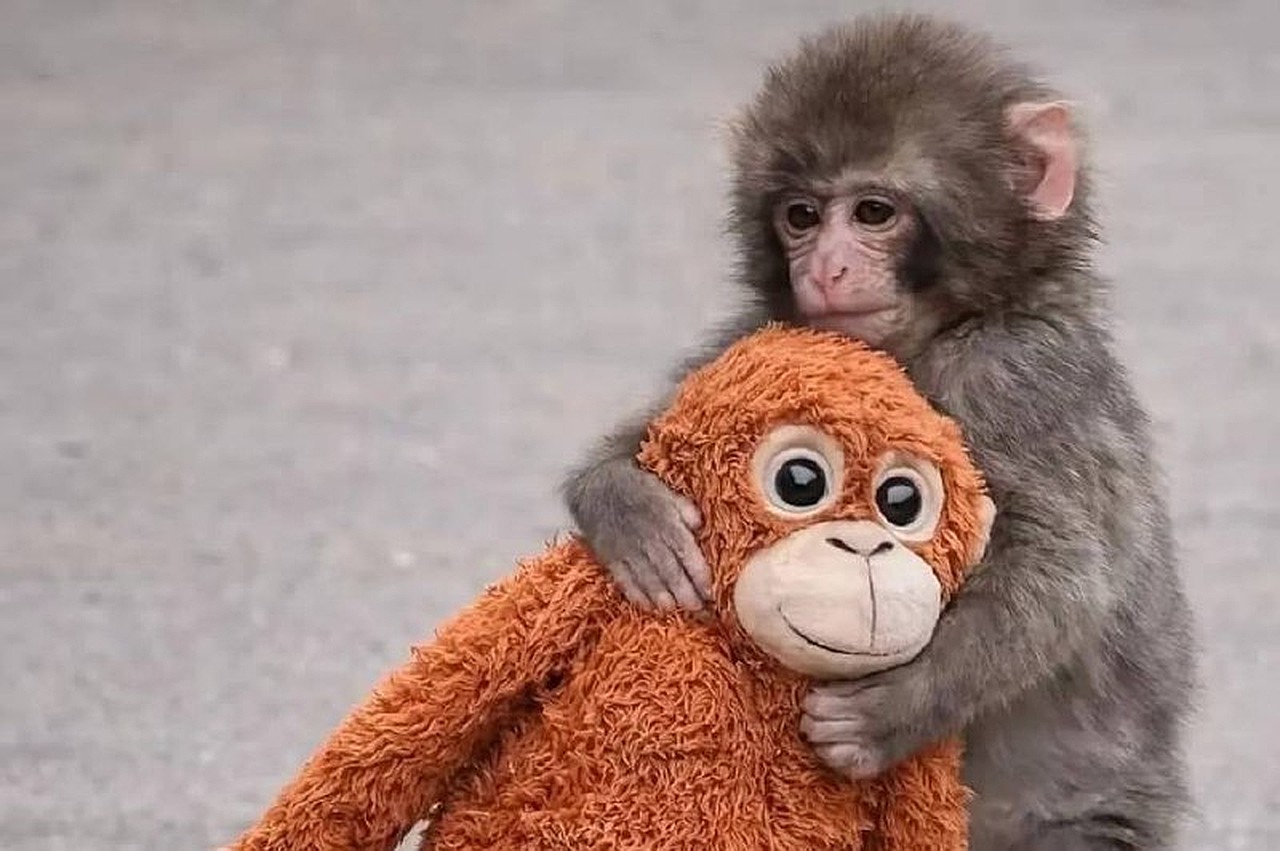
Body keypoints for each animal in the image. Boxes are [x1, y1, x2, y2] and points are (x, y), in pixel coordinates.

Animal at [562, 13, 1196, 851]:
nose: (826, 268)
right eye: (801, 215)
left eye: (873, 212)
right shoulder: (769, 335)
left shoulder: (1016, 376)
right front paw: (629, 510)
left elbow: (1063, 575)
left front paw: (892, 709)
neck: (932, 336)